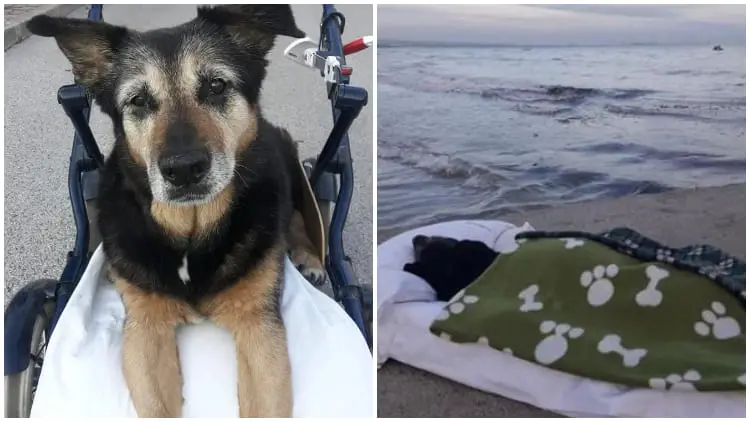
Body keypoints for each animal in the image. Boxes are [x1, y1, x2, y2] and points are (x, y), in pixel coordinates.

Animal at [28, 4, 324, 418]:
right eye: (138, 100)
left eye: (216, 86)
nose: (183, 170)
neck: (191, 229)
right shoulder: (145, 327)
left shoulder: (259, 326)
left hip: (289, 164)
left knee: (297, 215)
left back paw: (310, 257)